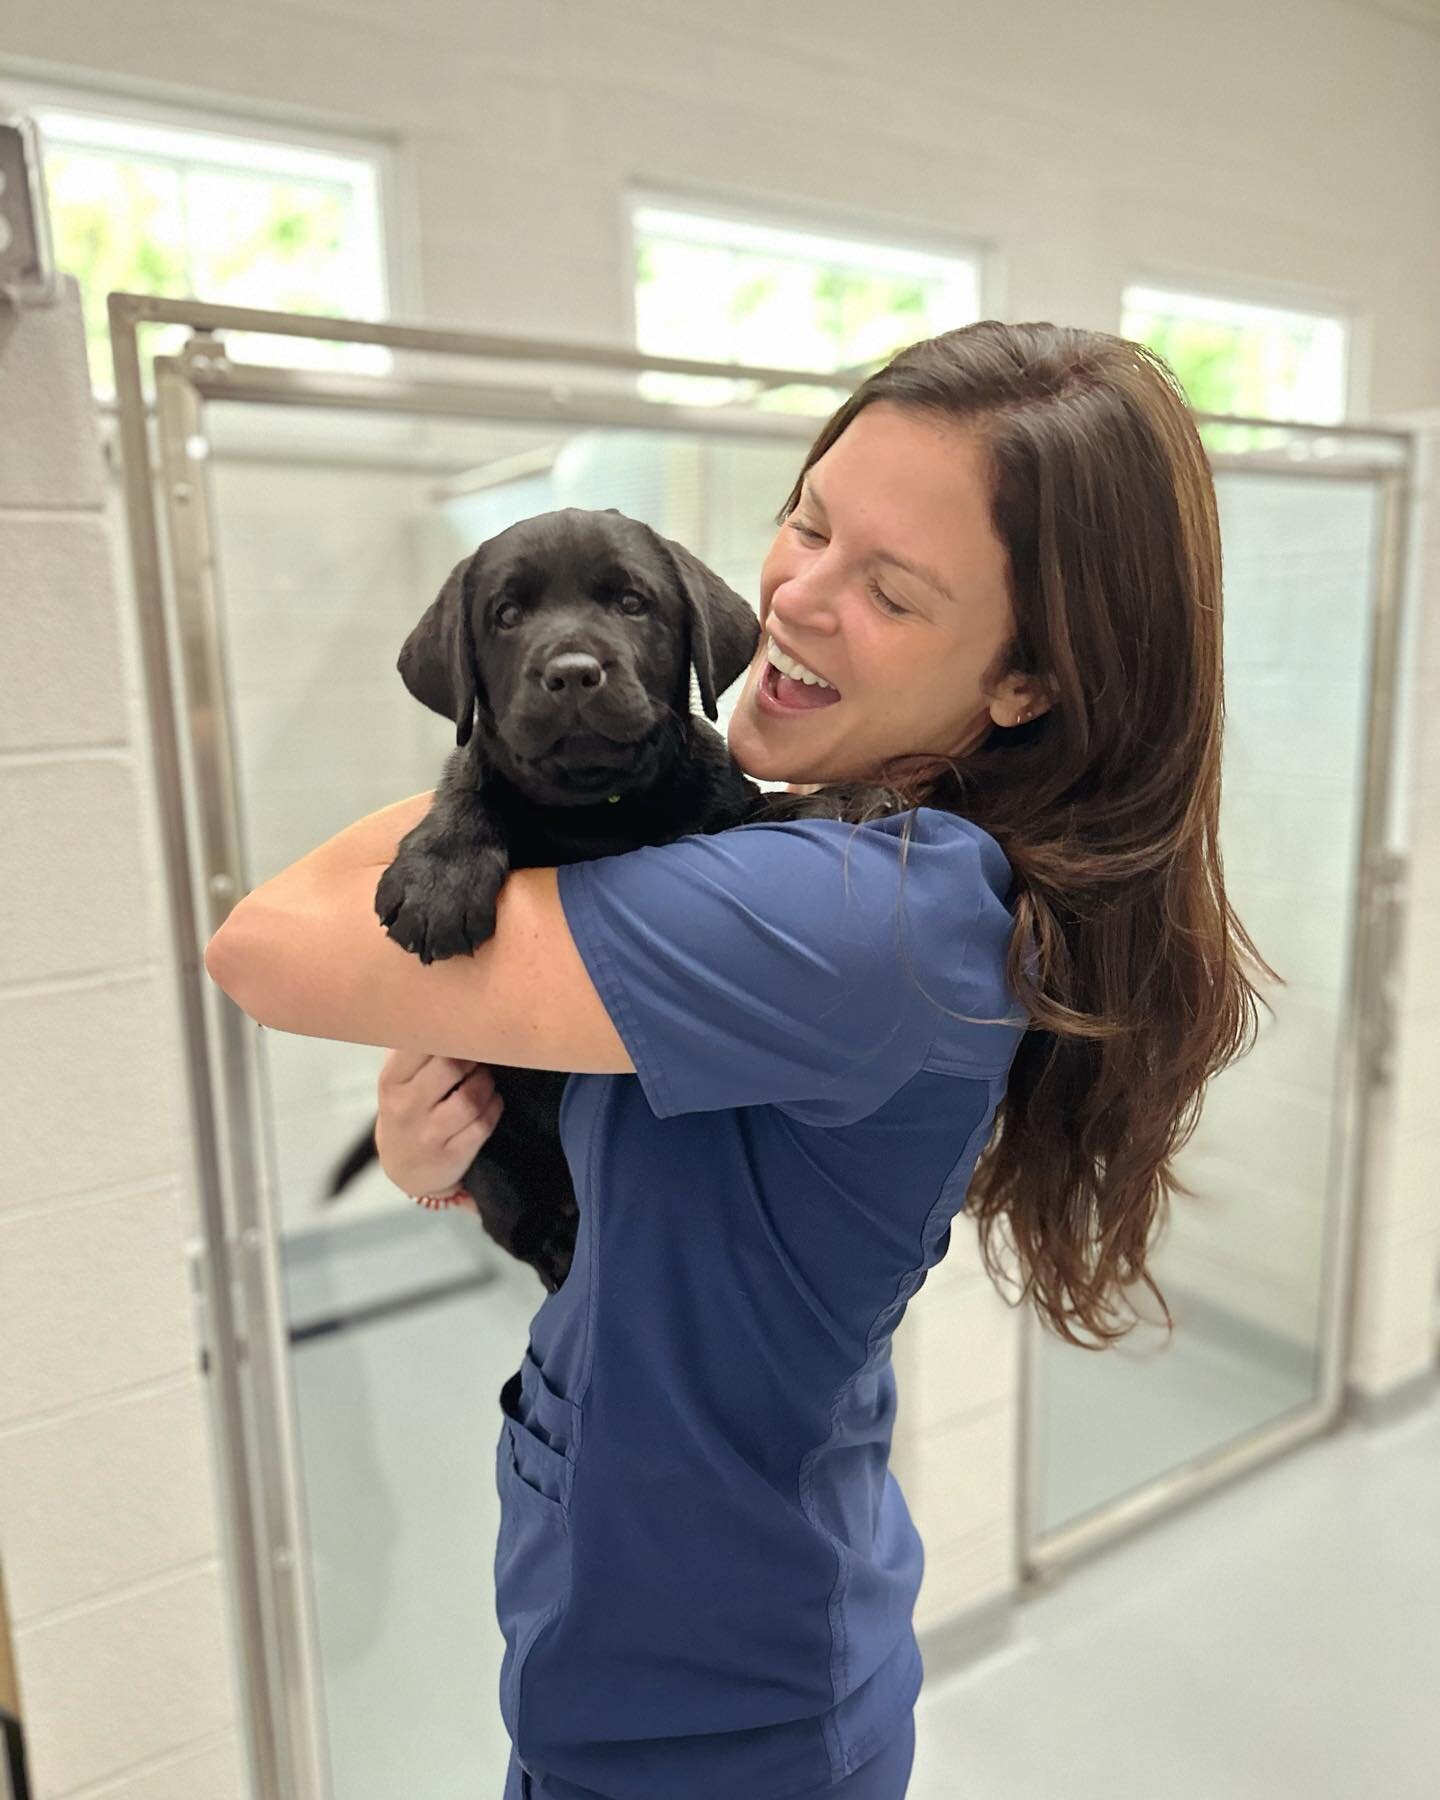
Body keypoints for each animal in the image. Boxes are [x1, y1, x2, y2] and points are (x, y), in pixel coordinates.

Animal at [324, 507, 770, 1296]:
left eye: (632, 602)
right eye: (506, 615)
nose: (571, 673)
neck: (596, 815)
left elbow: (744, 812)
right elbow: (469, 773)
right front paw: (438, 878)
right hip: (499, 1147)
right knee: (520, 1219)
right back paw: (562, 1249)